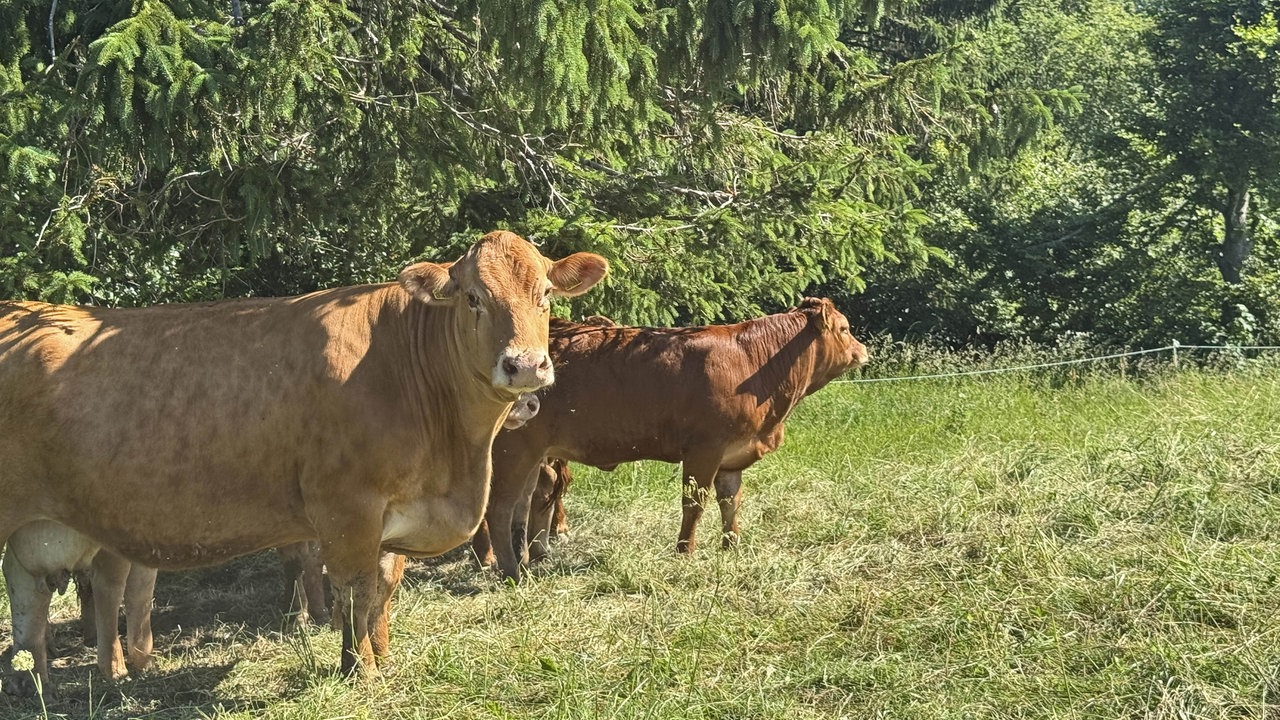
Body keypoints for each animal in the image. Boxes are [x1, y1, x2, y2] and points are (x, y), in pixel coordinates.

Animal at [0, 230, 608, 683]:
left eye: (545, 295)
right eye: (473, 297)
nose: (525, 367)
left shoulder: (391, 515)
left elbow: (384, 585)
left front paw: (381, 657)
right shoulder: (348, 508)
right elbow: (355, 588)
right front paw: (360, 670)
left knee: (29, 607)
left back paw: (37, 685)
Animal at [480, 298, 868, 581]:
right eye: (845, 328)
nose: (864, 351)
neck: (753, 364)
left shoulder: (732, 457)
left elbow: (730, 501)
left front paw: (731, 545)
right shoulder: (704, 451)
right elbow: (694, 503)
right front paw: (685, 551)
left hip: (534, 456)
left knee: (528, 503)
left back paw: (529, 558)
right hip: (513, 451)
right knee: (499, 509)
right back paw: (509, 569)